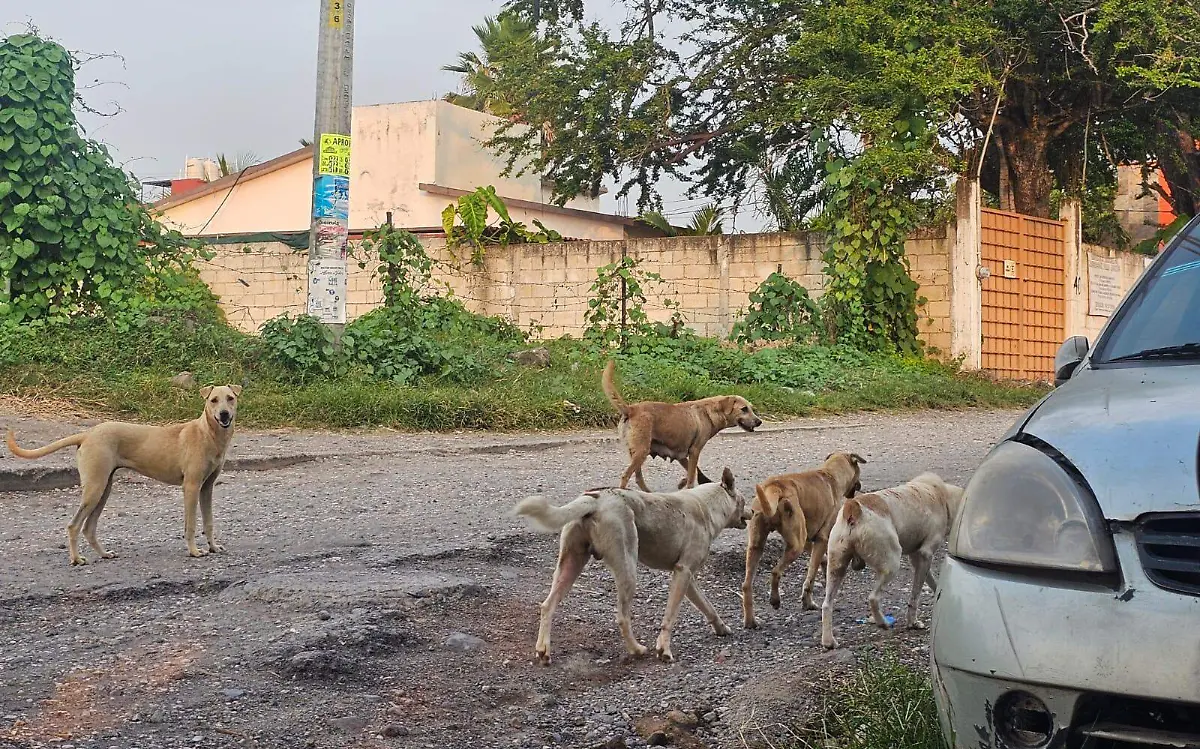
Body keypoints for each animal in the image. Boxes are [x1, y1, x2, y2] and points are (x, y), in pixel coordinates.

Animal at [6, 384, 246, 564]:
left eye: (230, 398)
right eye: (213, 400)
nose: (224, 414)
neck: (208, 434)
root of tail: (88, 434)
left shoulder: (206, 488)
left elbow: (208, 522)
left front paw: (213, 547)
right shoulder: (191, 487)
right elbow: (191, 524)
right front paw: (194, 551)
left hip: (104, 489)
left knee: (88, 528)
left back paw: (104, 554)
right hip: (95, 489)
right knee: (74, 525)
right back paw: (76, 559)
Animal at [511, 468, 744, 667]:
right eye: (743, 501)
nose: (750, 512)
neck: (707, 504)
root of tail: (595, 500)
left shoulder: (687, 579)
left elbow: (708, 606)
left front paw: (721, 627)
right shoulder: (683, 572)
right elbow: (669, 617)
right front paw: (664, 649)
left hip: (570, 566)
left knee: (547, 605)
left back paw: (543, 650)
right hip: (628, 571)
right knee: (622, 617)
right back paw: (636, 649)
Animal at [600, 362, 758, 492]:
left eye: (751, 408)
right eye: (744, 409)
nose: (759, 422)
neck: (709, 411)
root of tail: (631, 409)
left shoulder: (680, 454)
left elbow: (693, 471)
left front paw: (683, 482)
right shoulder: (694, 451)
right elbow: (692, 474)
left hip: (636, 453)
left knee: (638, 478)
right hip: (641, 452)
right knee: (626, 476)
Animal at [739, 453, 864, 628]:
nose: (859, 485)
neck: (830, 475)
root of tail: (775, 486)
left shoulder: (808, 540)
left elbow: (820, 561)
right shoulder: (821, 539)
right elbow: (810, 578)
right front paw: (808, 602)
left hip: (757, 545)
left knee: (746, 585)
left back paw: (750, 620)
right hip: (795, 546)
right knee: (775, 571)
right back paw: (775, 600)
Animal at [816, 470, 964, 648]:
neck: (943, 497)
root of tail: (853, 509)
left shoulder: (919, 559)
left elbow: (933, 583)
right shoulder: (925, 554)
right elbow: (915, 596)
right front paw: (912, 622)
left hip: (836, 567)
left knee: (827, 605)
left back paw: (828, 641)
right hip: (892, 564)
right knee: (873, 598)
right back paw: (882, 623)